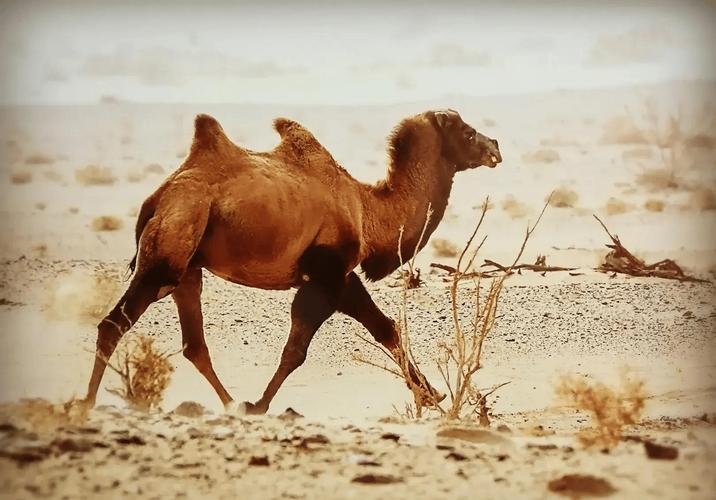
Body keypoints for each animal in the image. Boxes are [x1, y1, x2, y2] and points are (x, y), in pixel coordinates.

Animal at [81, 108, 500, 414]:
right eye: (466, 134)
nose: (495, 146)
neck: (367, 209)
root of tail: (158, 198)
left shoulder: (340, 276)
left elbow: (384, 328)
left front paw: (430, 394)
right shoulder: (326, 274)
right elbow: (300, 349)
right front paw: (259, 405)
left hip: (188, 267)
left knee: (193, 344)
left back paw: (230, 403)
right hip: (170, 248)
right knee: (114, 324)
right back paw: (87, 403)